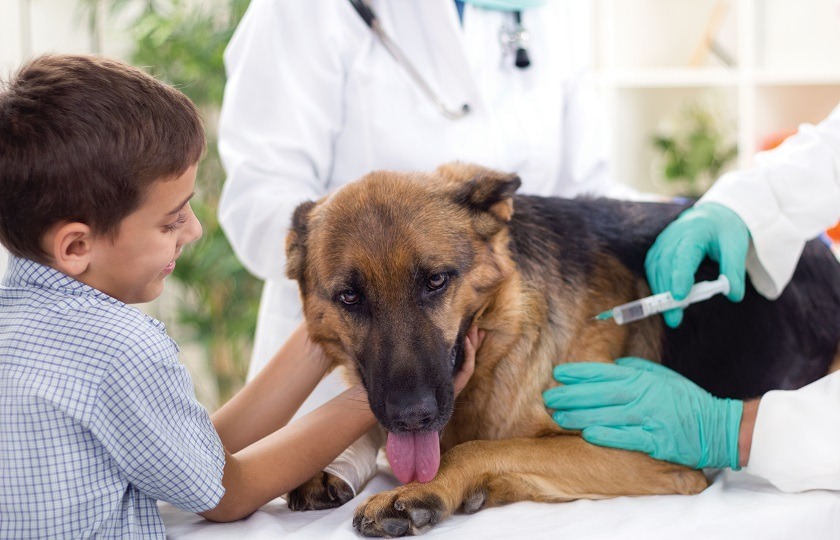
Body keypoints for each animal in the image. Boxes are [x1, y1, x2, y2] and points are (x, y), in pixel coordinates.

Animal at [284, 163, 840, 536]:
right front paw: (337, 461)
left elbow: (482, 447)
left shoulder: (645, 457)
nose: (412, 416)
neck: (504, 334)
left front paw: (426, 487)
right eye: (349, 297)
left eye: (436, 281)